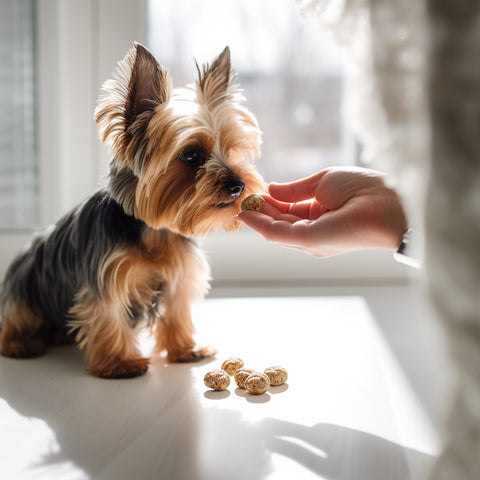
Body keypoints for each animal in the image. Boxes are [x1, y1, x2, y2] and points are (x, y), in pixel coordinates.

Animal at [0, 42, 262, 378]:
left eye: (231, 151)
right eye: (191, 156)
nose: (239, 185)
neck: (156, 231)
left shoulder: (180, 275)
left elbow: (177, 312)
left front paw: (186, 349)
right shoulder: (106, 275)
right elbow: (107, 314)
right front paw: (119, 363)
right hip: (24, 290)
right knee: (17, 322)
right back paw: (21, 344)